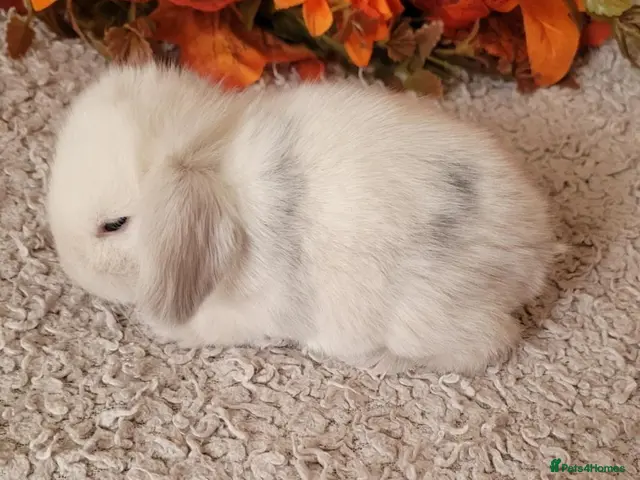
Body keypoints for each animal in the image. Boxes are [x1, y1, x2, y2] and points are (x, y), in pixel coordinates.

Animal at [46, 62, 560, 377]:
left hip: (425, 317)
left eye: (114, 225)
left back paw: (379, 362)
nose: (72, 269)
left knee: (489, 344)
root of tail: (534, 251)